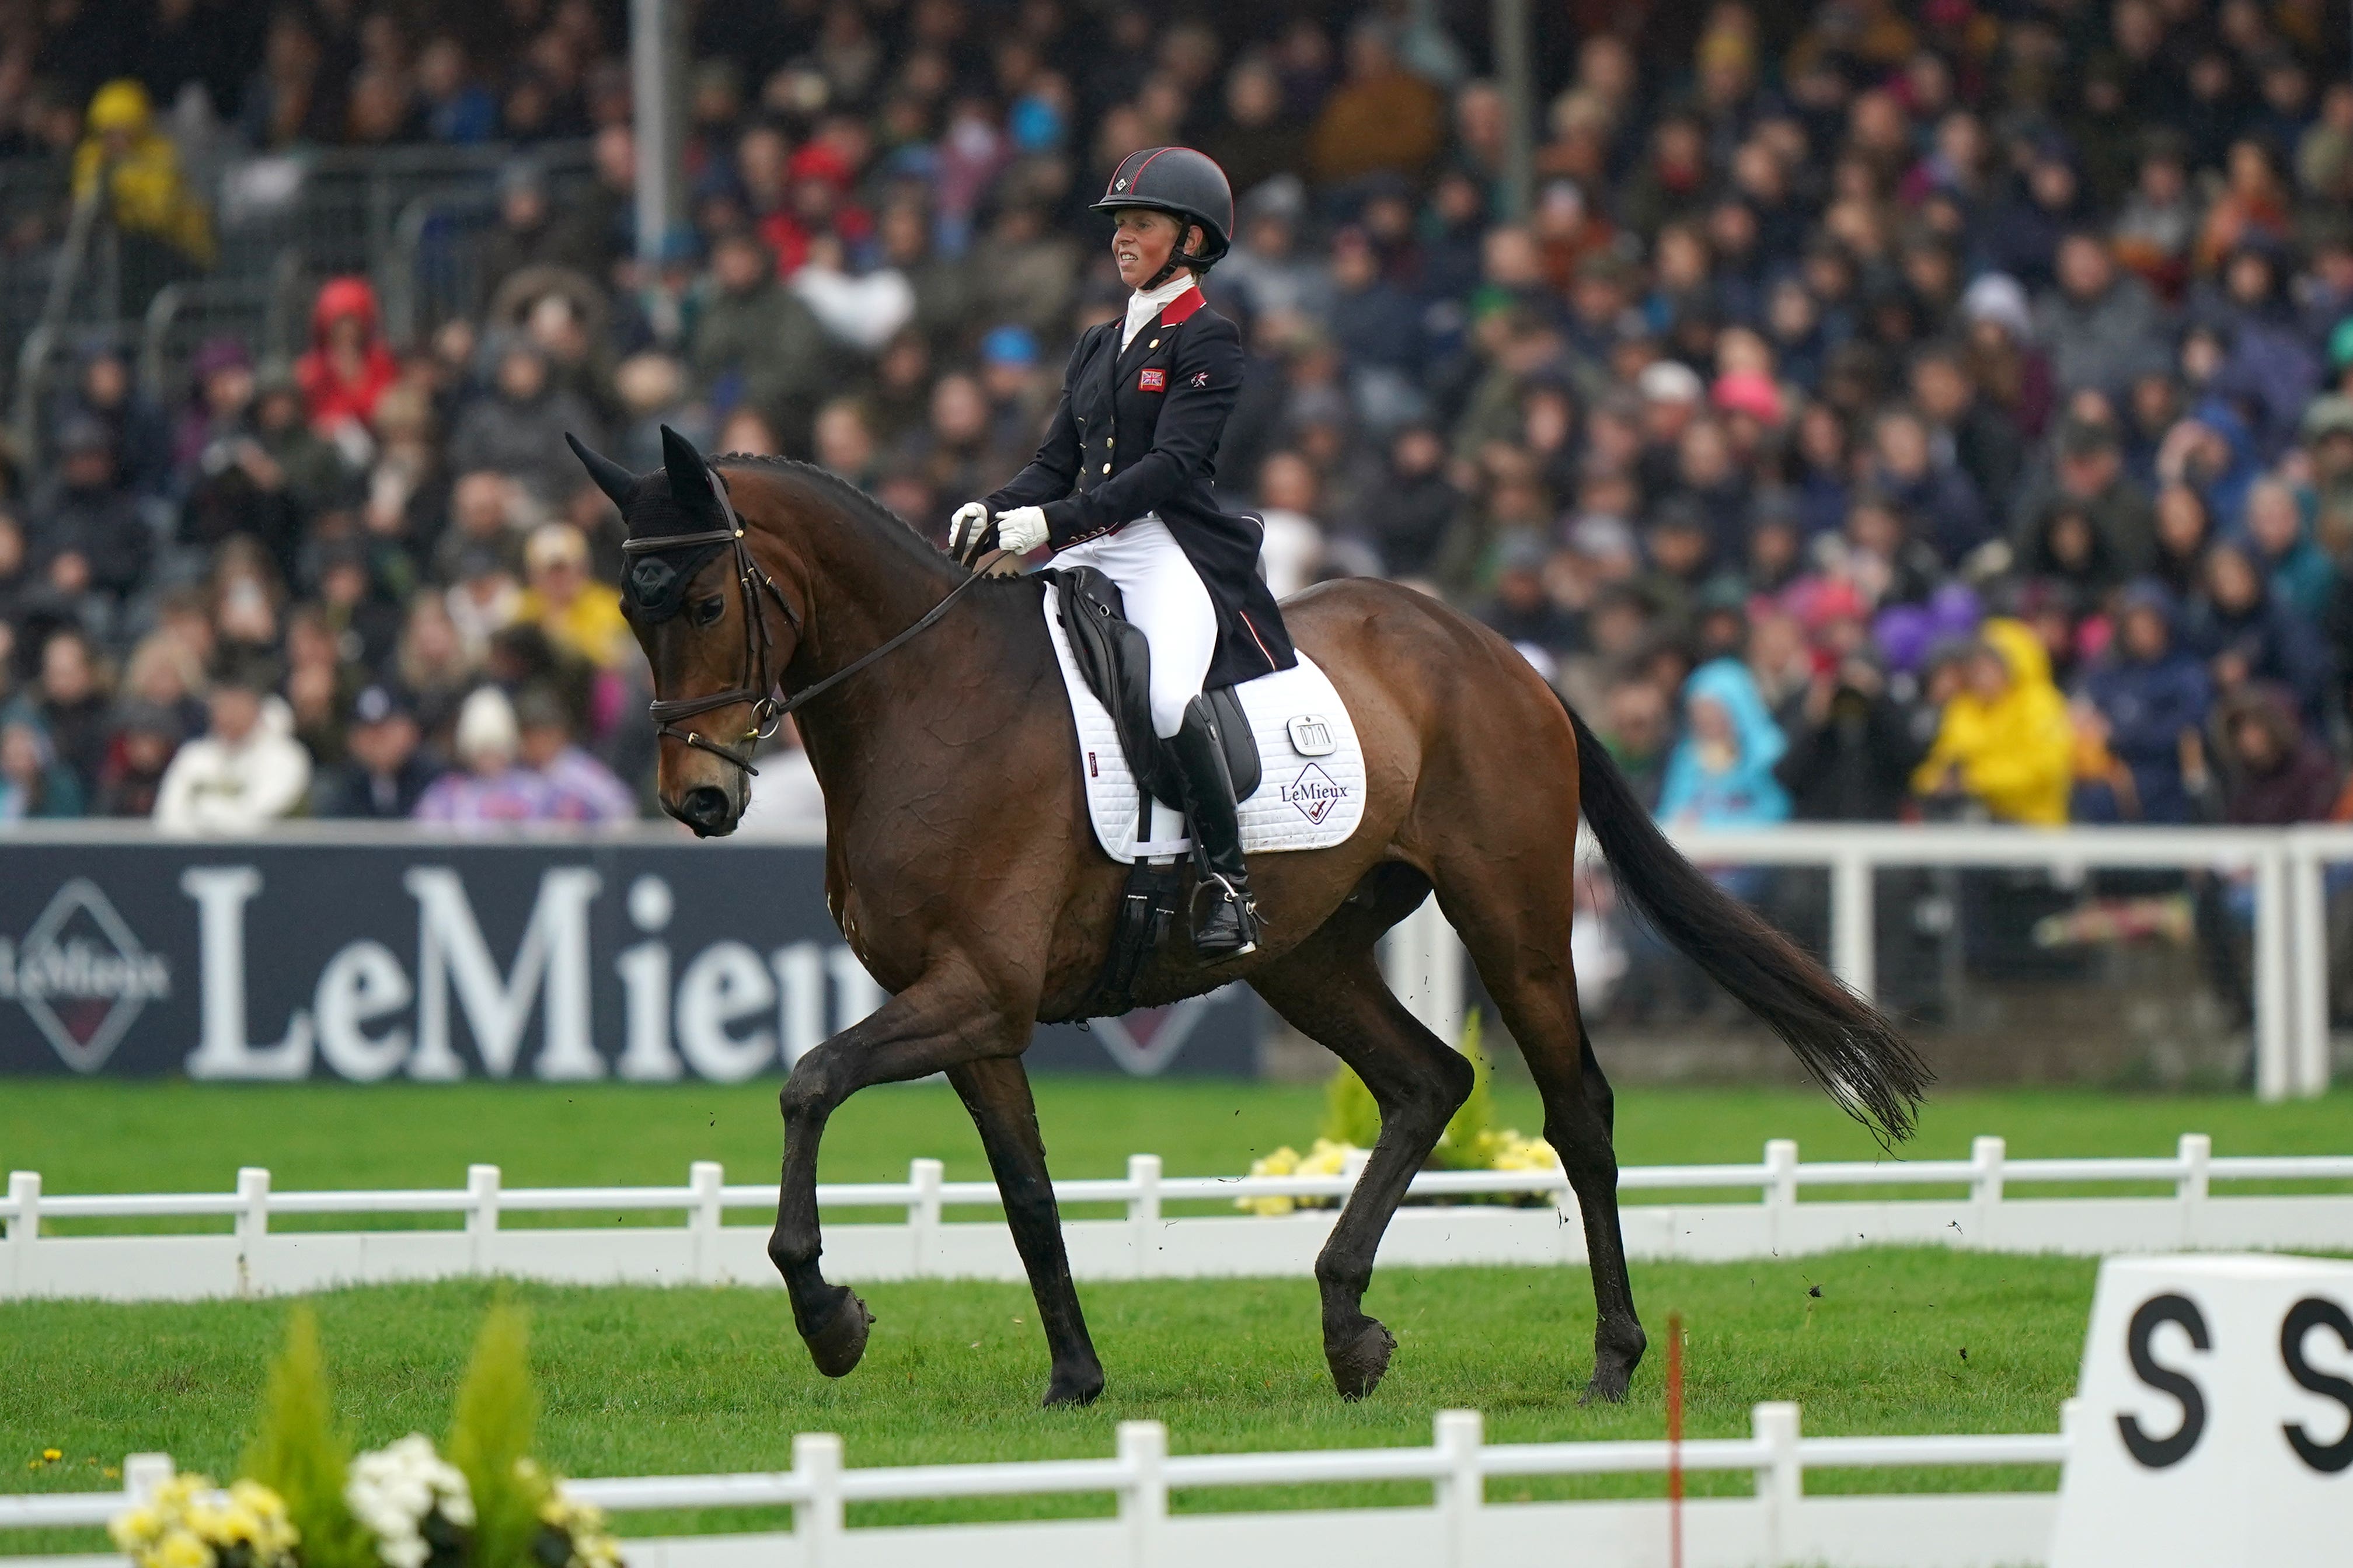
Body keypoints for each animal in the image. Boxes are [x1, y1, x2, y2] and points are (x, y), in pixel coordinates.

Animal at [569, 430, 1929, 1410]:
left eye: (702, 601)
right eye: (630, 609)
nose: (697, 798)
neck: (929, 700)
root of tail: (1497, 650)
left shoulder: (977, 992)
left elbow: (808, 1079)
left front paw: (830, 1318)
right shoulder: (976, 1016)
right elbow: (1027, 1194)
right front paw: (1074, 1377)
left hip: (1511, 918)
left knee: (1576, 1115)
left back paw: (1609, 1357)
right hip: (1305, 953)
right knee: (1427, 1081)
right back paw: (1347, 1327)